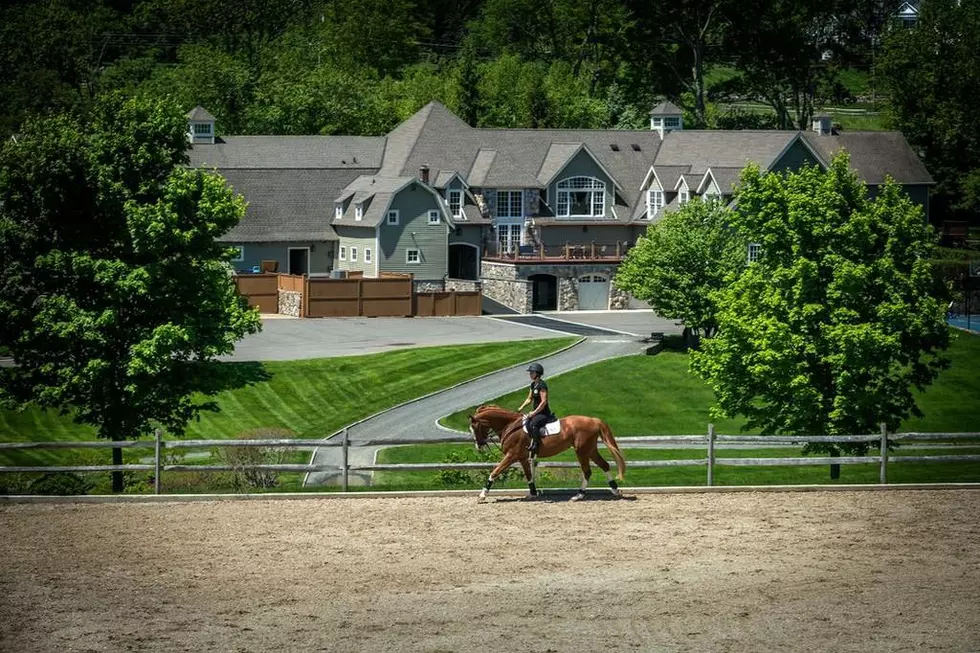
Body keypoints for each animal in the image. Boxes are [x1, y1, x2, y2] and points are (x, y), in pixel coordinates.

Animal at [468, 402, 628, 504]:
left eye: (475, 428)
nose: (479, 446)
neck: (511, 426)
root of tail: (594, 420)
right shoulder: (522, 457)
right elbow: (529, 476)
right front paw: (533, 494)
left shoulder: (511, 456)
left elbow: (495, 472)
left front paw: (482, 495)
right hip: (590, 450)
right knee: (604, 465)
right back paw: (615, 491)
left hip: (582, 451)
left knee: (587, 471)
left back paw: (579, 495)